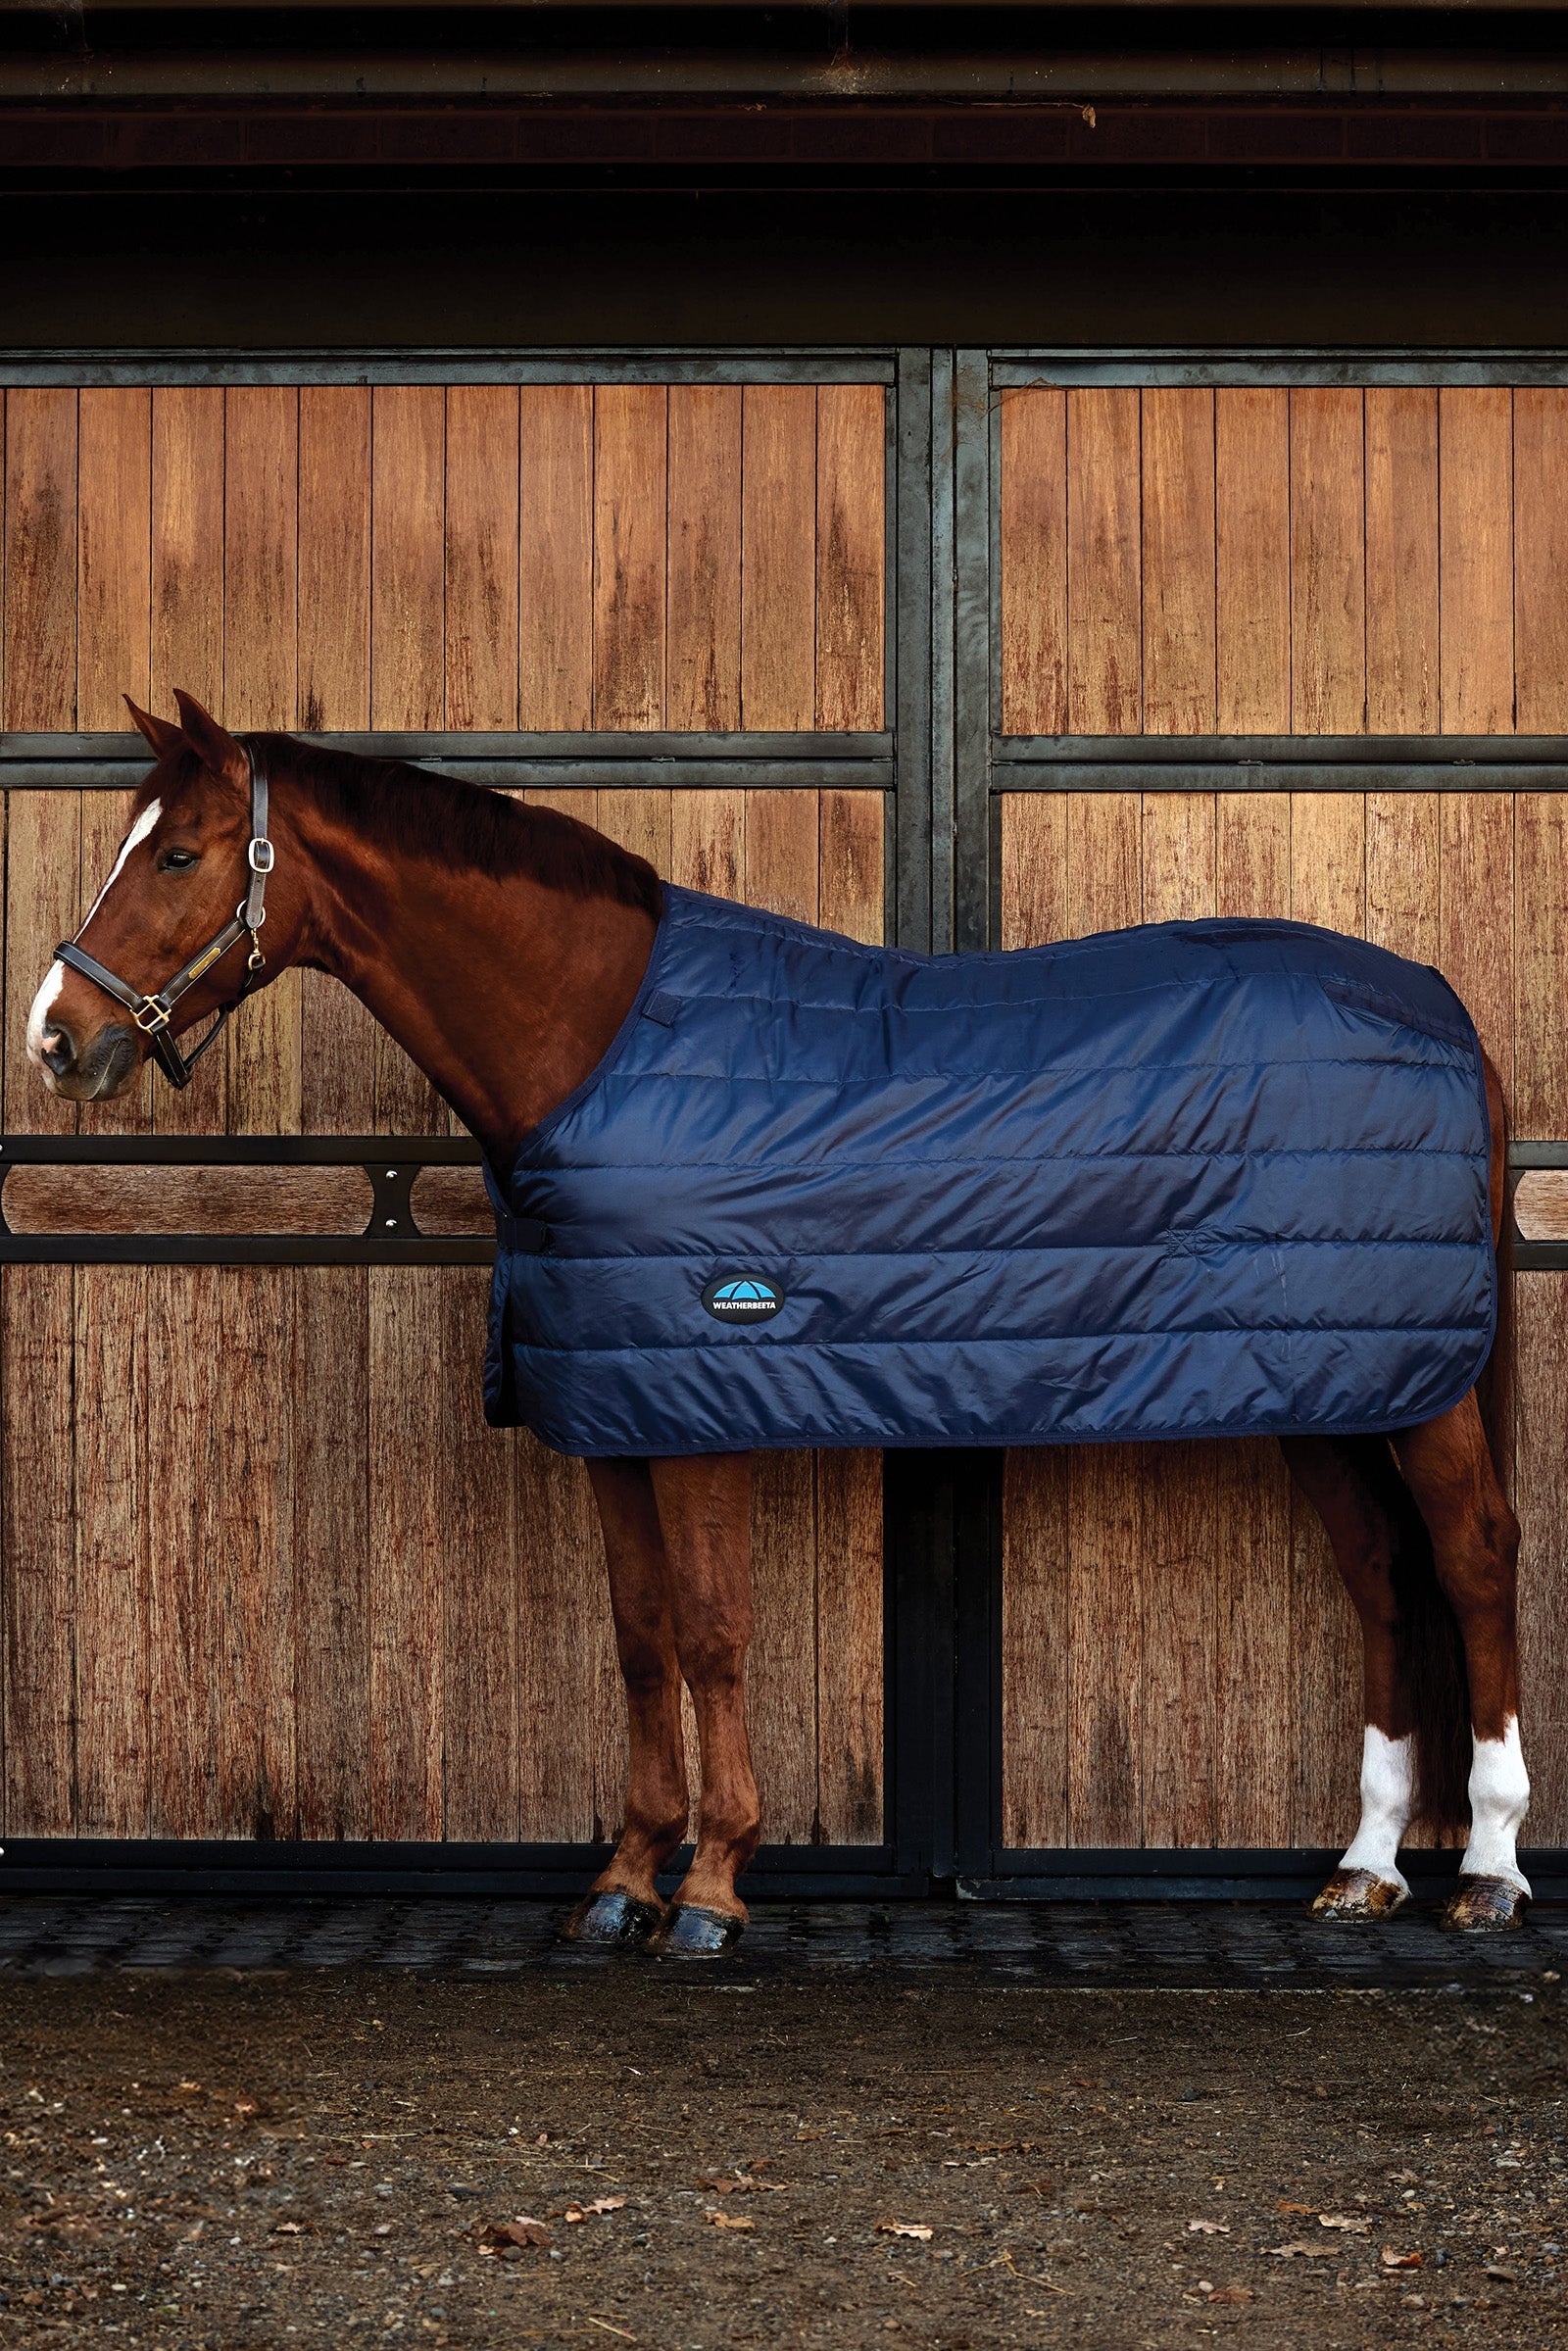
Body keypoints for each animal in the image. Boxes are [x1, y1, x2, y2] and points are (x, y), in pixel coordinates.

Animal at [26, 691, 1531, 1947]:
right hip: (1325, 1382)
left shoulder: (704, 1396)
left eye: (179, 856)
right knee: (1379, 1574)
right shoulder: (616, 1404)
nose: (54, 1037)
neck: (601, 1045)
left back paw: (1491, 1867)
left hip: (1422, 1389)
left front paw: (712, 1885)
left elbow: (709, 1631)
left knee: (1470, 1557)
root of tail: (1445, 1009)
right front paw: (623, 1878)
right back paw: (1366, 1866)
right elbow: (640, 1637)